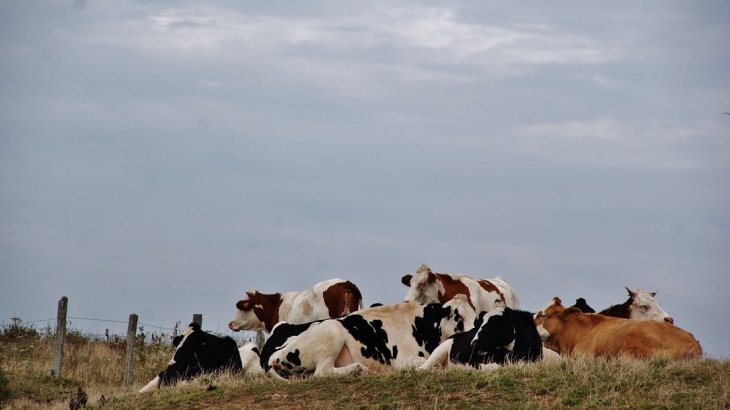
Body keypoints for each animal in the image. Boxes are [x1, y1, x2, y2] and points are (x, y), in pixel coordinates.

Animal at [264, 294, 474, 378]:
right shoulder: (404, 360)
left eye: (475, 316)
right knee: (322, 372)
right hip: (332, 329)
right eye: (458, 316)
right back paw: (358, 369)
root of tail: (274, 354)